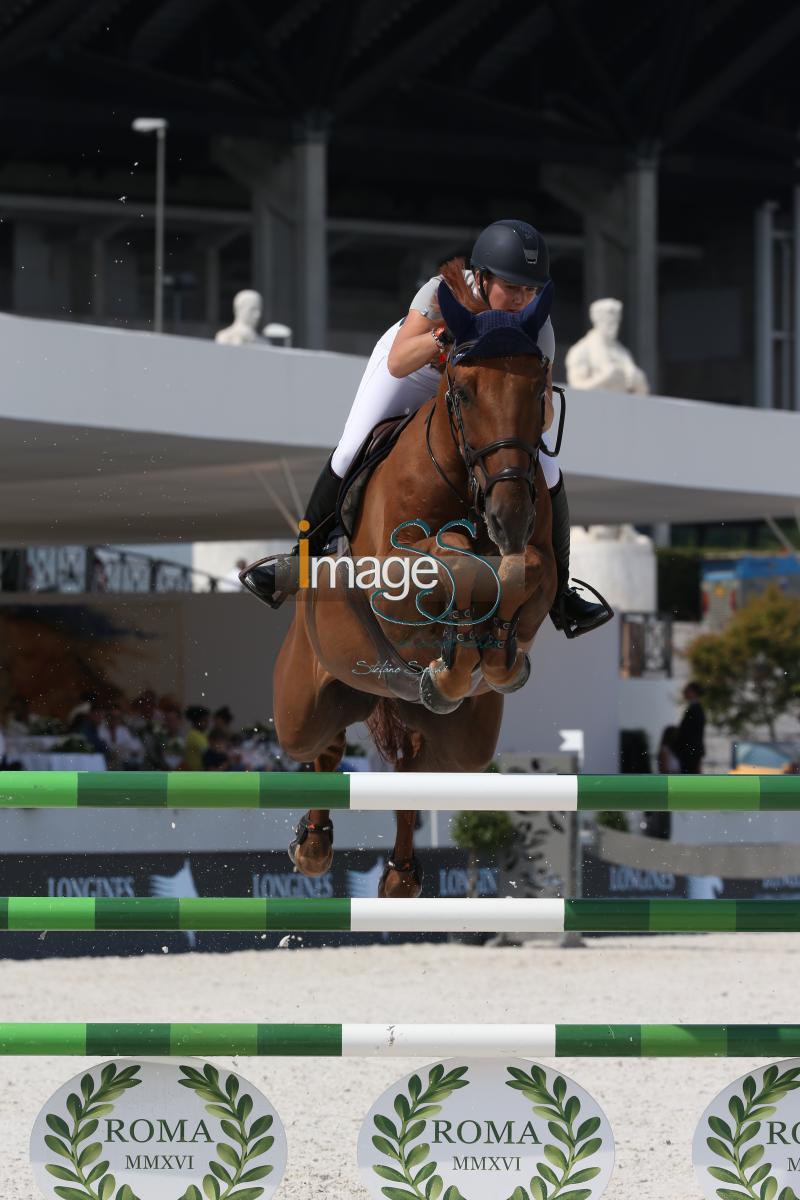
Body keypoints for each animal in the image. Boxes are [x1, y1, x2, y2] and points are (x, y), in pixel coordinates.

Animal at [273, 283, 556, 892]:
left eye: (538, 390)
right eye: (465, 393)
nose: (509, 517)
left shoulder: (537, 558)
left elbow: (522, 572)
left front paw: (494, 655)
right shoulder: (391, 575)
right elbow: (446, 563)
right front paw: (464, 631)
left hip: (463, 743)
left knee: (411, 768)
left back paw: (400, 875)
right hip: (300, 708)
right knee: (320, 746)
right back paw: (313, 847)